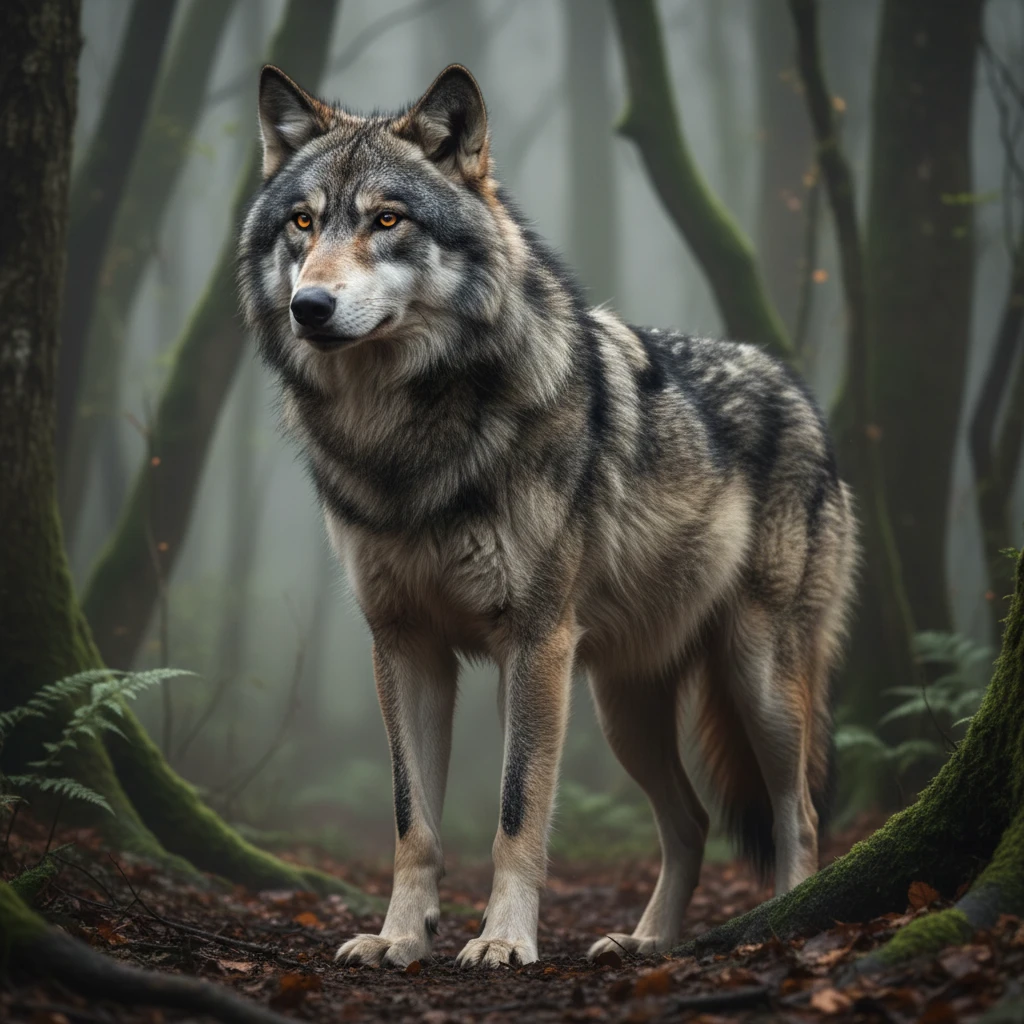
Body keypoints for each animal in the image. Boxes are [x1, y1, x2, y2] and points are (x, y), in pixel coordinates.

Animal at [238, 63, 857, 968]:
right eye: (303, 222)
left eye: (387, 220)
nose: (309, 308)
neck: (405, 445)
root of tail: (798, 389)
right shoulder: (405, 645)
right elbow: (412, 822)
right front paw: (399, 938)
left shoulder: (534, 642)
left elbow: (516, 810)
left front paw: (502, 940)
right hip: (622, 705)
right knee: (692, 819)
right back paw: (645, 943)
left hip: (758, 680)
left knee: (798, 813)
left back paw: (779, 924)